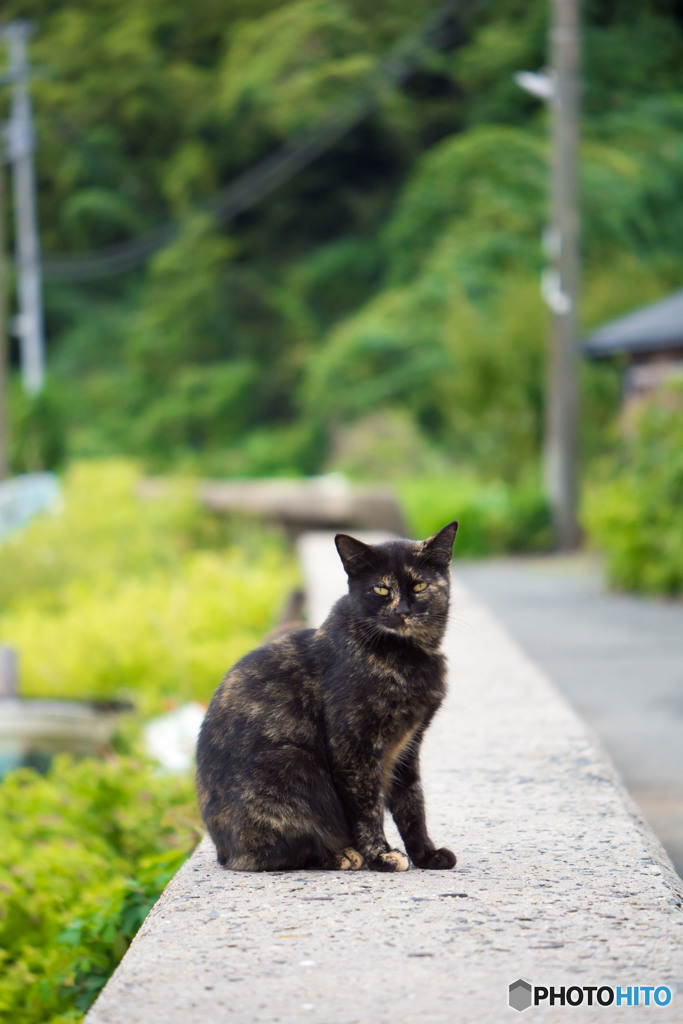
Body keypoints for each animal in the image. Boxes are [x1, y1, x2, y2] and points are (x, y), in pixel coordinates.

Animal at [194, 520, 456, 872]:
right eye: (381, 589)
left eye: (419, 586)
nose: (402, 611)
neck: (408, 654)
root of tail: (223, 852)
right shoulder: (354, 748)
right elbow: (367, 808)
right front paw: (381, 855)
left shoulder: (407, 745)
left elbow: (412, 804)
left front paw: (427, 855)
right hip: (295, 765)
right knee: (273, 854)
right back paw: (343, 855)